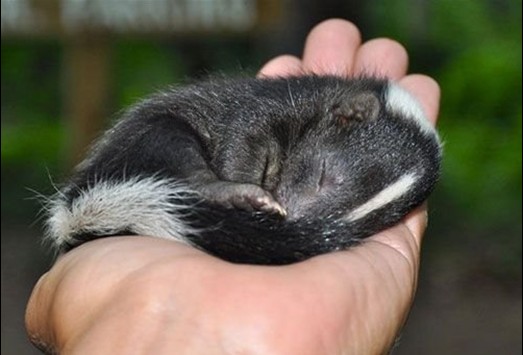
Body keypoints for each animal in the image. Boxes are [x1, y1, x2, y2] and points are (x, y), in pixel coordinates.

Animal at [48, 76, 442, 264]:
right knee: (178, 153)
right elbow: (242, 136)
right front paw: (248, 188)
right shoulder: (274, 105)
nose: (291, 219)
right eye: (324, 175)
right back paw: (237, 193)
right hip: (145, 138)